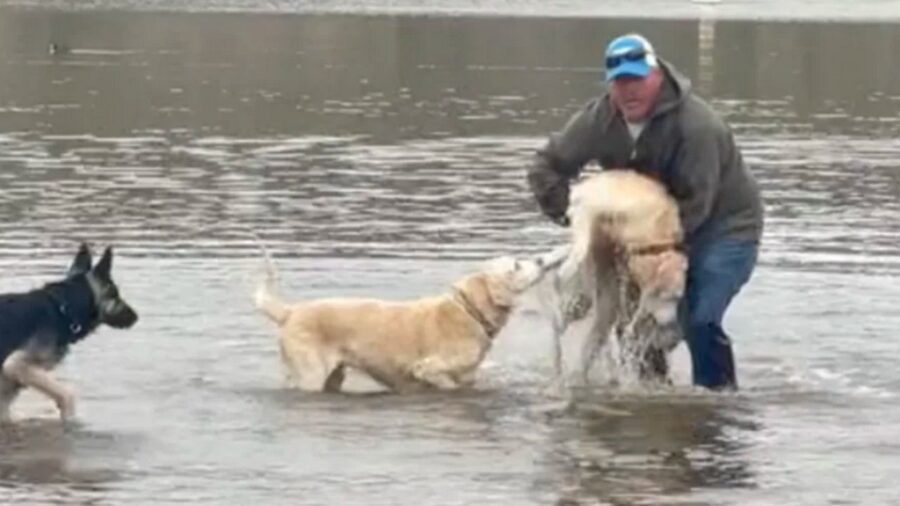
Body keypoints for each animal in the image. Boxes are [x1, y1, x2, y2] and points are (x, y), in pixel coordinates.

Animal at [253, 247, 560, 394]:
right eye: (516, 265)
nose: (541, 260)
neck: (469, 312)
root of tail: (289, 311)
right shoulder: (428, 369)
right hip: (312, 374)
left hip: (333, 375)